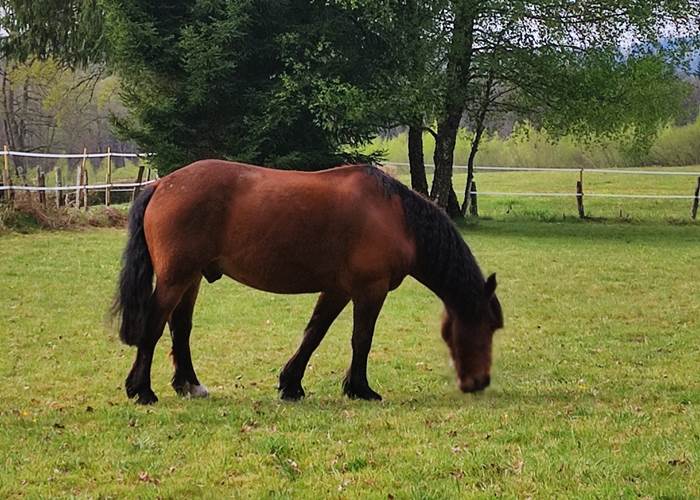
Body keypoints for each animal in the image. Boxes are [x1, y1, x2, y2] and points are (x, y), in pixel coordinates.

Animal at [112, 160, 503, 404]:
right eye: (488, 326)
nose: (480, 382)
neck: (395, 215)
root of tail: (162, 184)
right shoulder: (370, 290)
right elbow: (361, 340)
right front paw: (360, 388)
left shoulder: (338, 290)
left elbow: (314, 333)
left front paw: (291, 384)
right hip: (175, 279)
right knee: (154, 326)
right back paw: (142, 390)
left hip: (190, 278)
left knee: (180, 327)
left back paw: (189, 385)